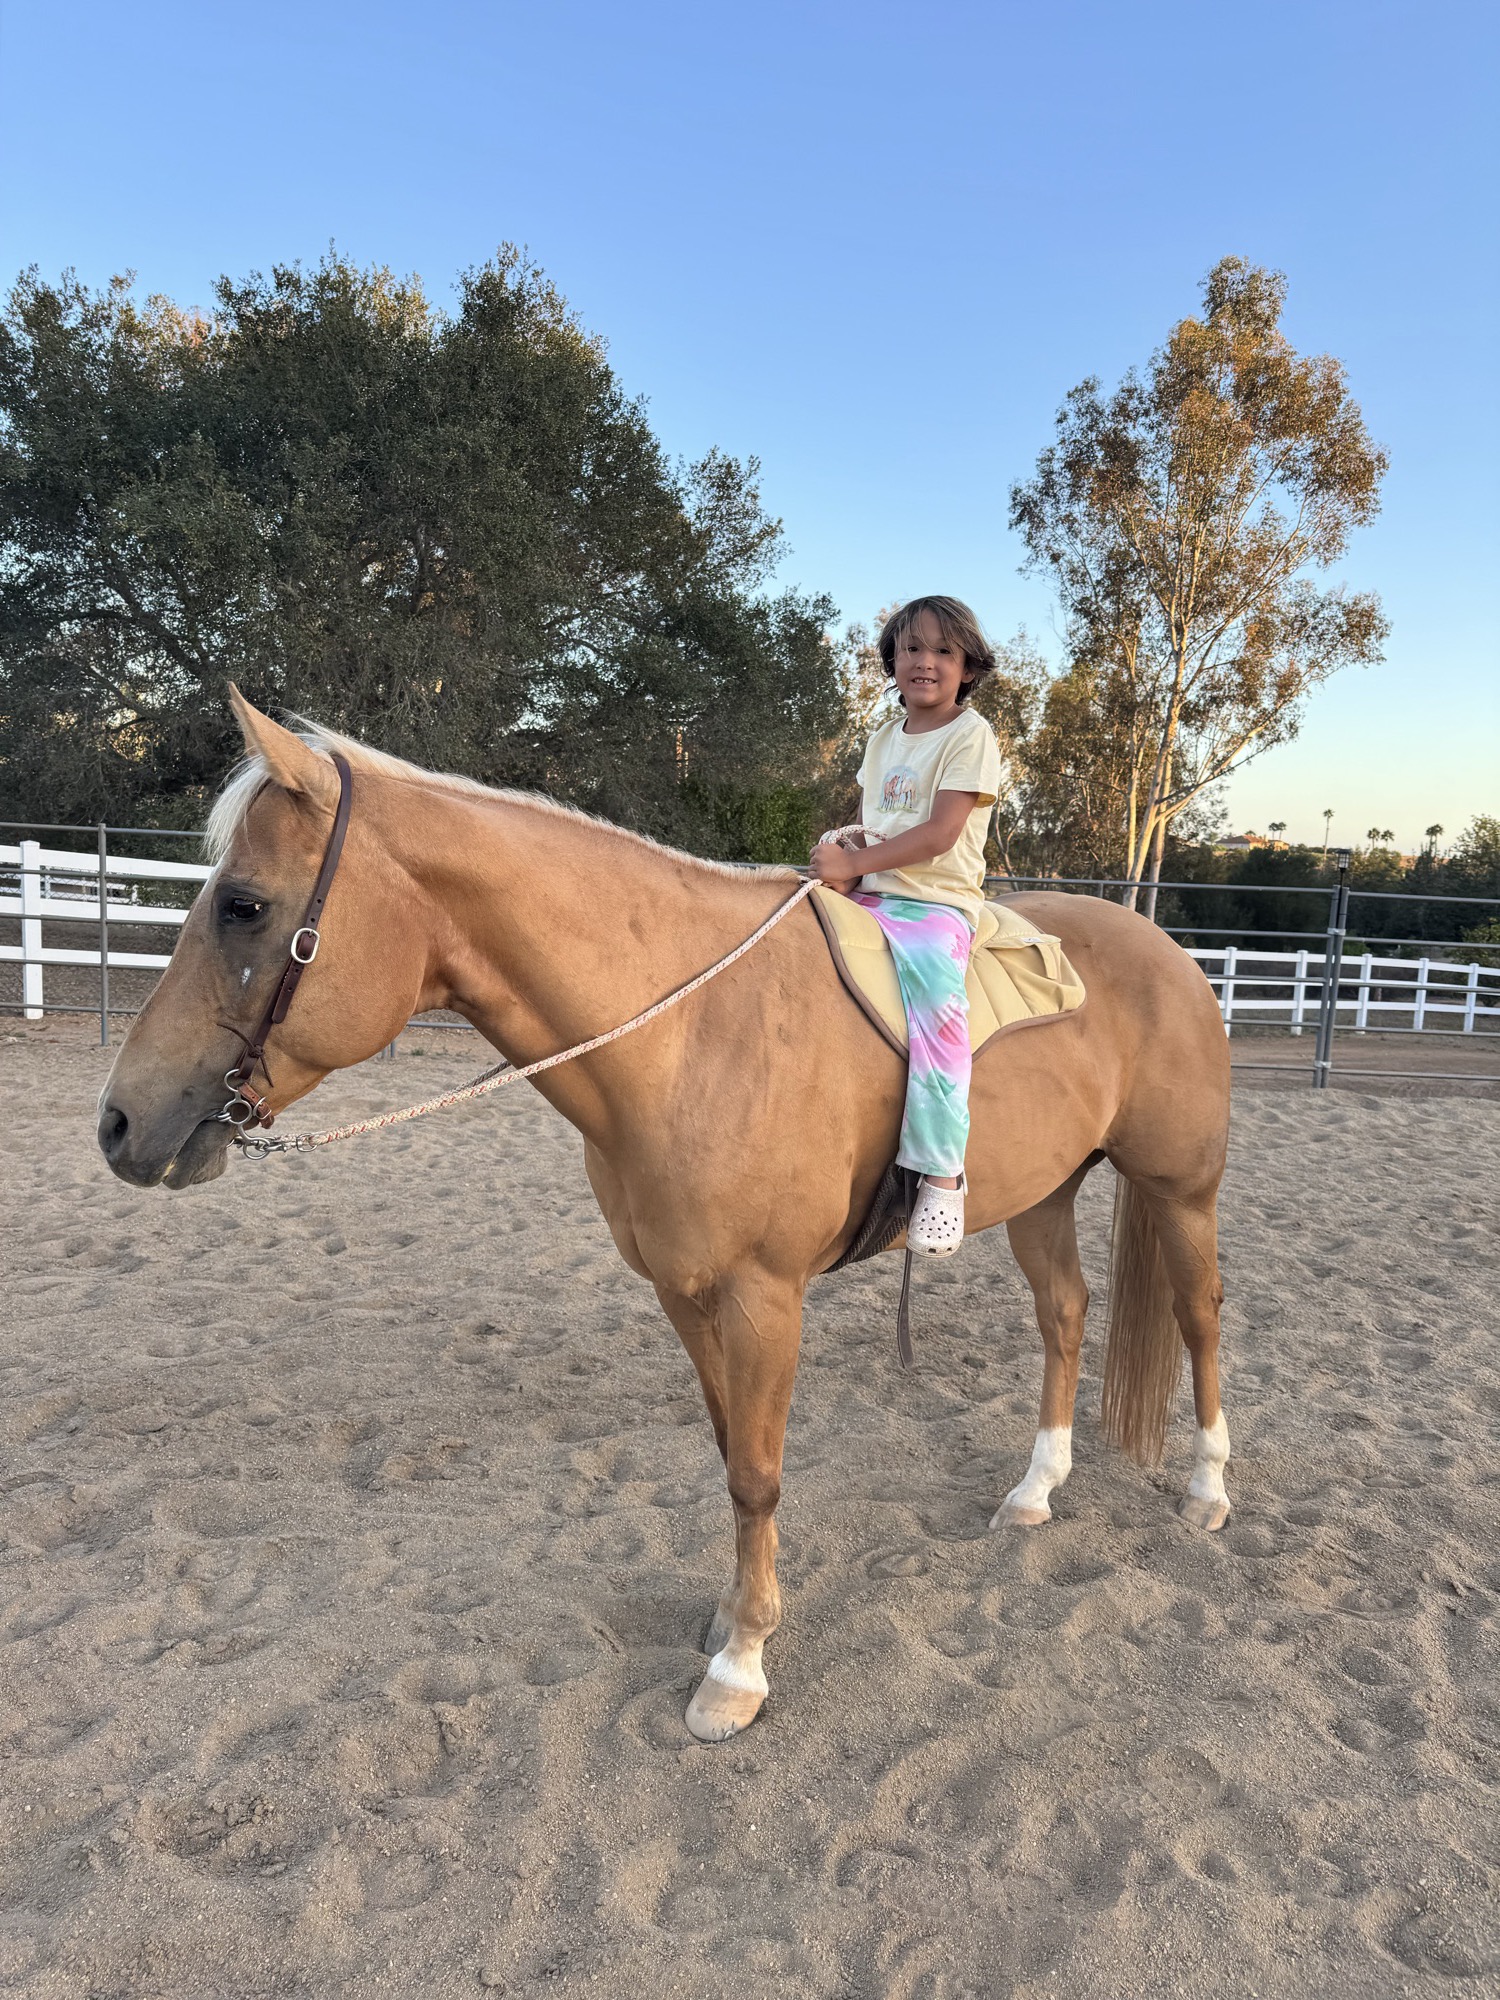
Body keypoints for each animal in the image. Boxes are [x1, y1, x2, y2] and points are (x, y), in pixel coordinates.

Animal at [97, 692, 1234, 1743]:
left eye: (243, 905)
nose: (118, 1124)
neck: (690, 1034)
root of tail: (1168, 949)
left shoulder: (766, 1297)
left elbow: (761, 1475)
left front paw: (740, 1668)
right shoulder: (687, 1294)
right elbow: (731, 1458)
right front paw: (733, 1616)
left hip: (1181, 1192)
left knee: (1199, 1318)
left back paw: (1210, 1491)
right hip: (1046, 1194)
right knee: (1066, 1314)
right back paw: (1036, 1490)